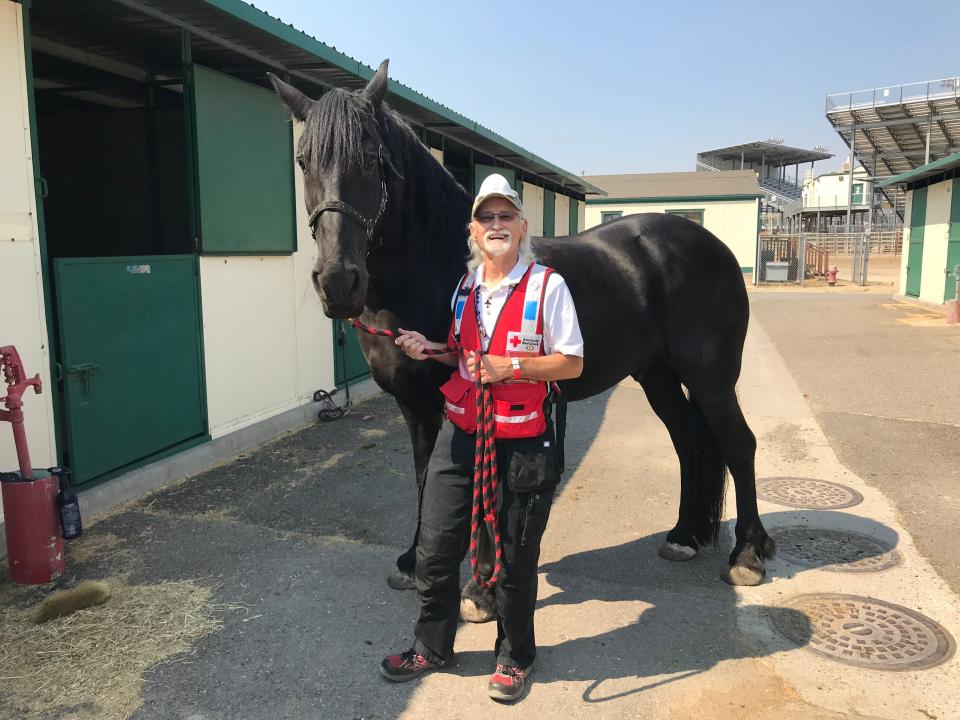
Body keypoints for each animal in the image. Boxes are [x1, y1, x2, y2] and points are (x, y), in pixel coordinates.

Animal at [268, 59, 772, 616]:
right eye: (303, 160)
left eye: (374, 159)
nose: (338, 282)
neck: (436, 270)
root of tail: (711, 244)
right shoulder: (414, 405)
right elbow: (423, 475)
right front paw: (413, 561)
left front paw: (480, 588)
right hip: (657, 374)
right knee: (686, 441)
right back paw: (683, 535)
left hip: (711, 378)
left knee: (739, 444)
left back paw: (748, 554)